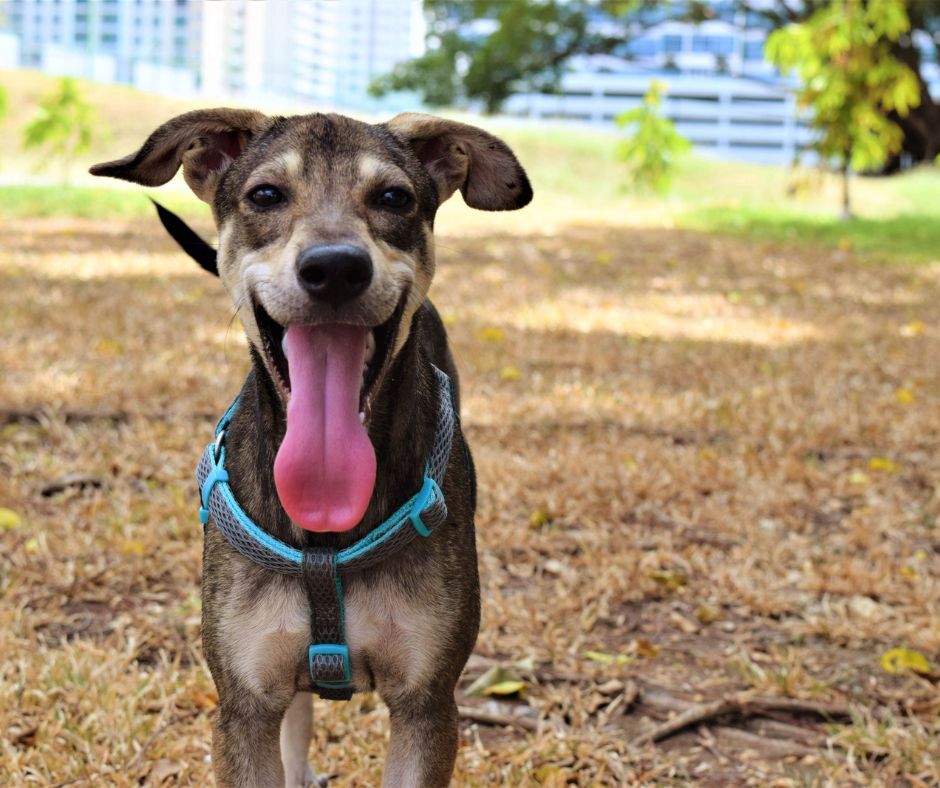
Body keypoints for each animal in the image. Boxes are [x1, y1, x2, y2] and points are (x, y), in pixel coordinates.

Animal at [92, 112, 532, 788]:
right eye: (266, 195)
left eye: (394, 197)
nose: (336, 268)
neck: (327, 530)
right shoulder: (243, 704)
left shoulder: (427, 704)